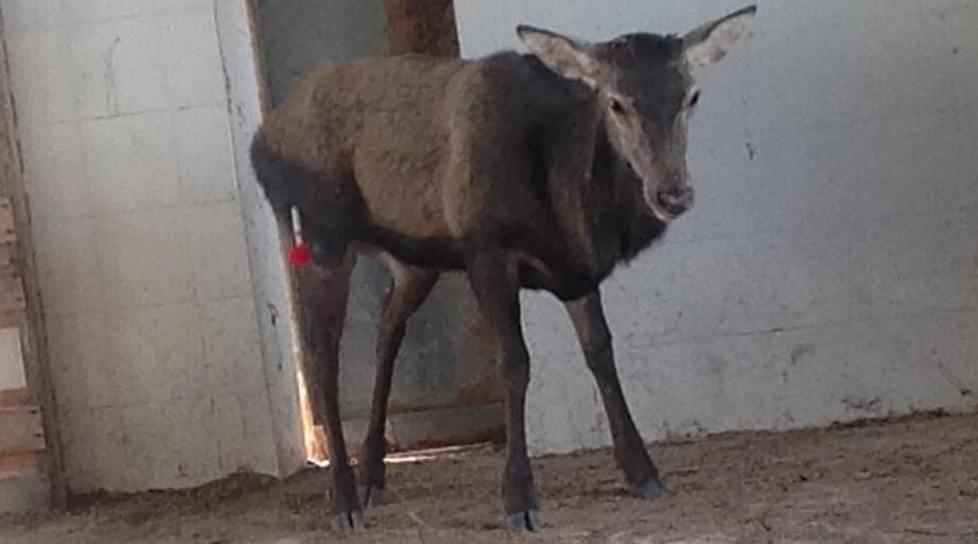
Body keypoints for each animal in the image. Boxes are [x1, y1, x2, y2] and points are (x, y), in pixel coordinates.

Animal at [250, 5, 756, 533]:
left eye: (691, 95)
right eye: (616, 102)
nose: (673, 193)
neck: (567, 206)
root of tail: (261, 141)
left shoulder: (575, 269)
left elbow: (601, 352)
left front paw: (644, 472)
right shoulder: (487, 251)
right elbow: (514, 363)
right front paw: (519, 497)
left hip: (414, 262)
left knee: (386, 331)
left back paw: (373, 474)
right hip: (325, 237)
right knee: (321, 355)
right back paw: (344, 499)